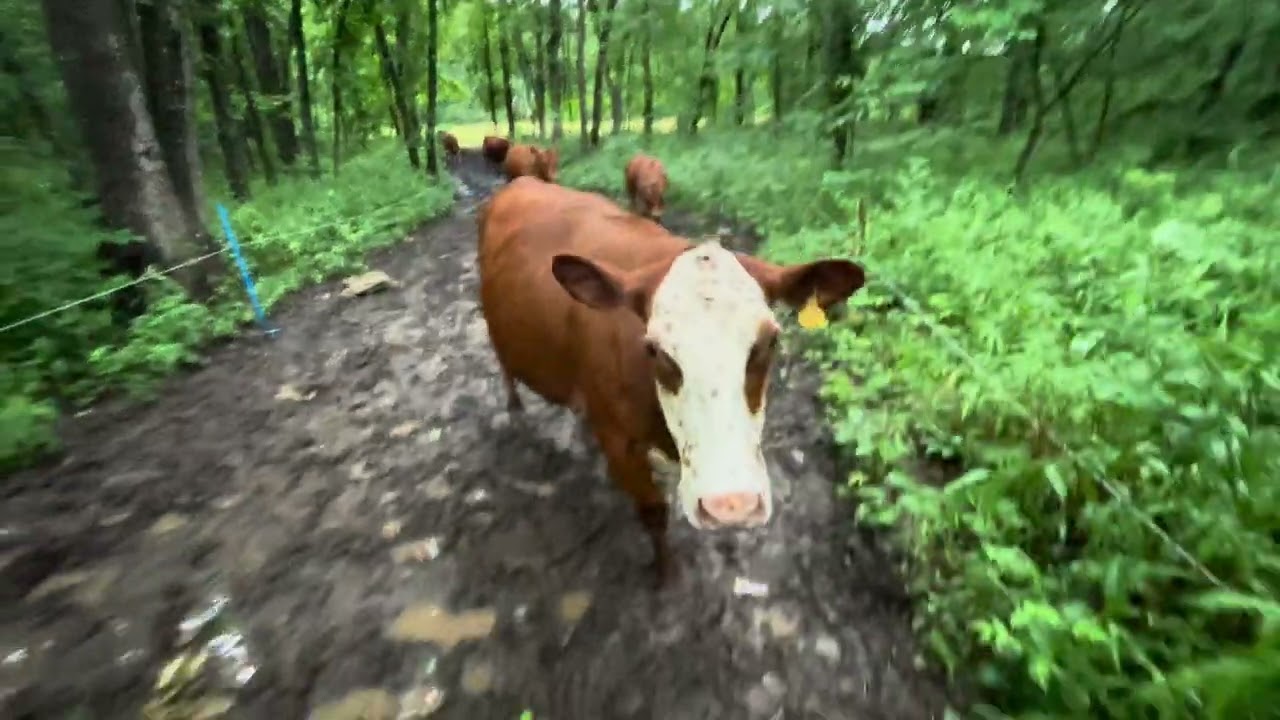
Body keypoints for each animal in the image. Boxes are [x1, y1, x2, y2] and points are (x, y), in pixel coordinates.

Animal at [477, 178, 866, 587]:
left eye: (771, 341)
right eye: (654, 349)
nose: (731, 505)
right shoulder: (619, 441)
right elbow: (653, 510)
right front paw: (666, 572)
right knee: (504, 364)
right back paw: (514, 405)